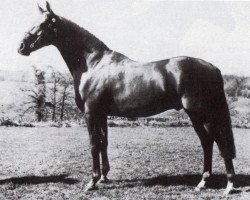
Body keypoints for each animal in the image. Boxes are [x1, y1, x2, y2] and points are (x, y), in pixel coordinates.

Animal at [18, 1, 236, 195]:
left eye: (44, 24)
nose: (21, 47)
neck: (93, 64)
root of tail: (212, 67)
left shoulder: (91, 113)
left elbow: (93, 144)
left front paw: (92, 182)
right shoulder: (102, 114)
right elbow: (103, 143)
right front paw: (104, 177)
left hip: (202, 113)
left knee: (219, 141)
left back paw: (229, 184)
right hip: (196, 116)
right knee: (207, 142)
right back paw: (203, 182)